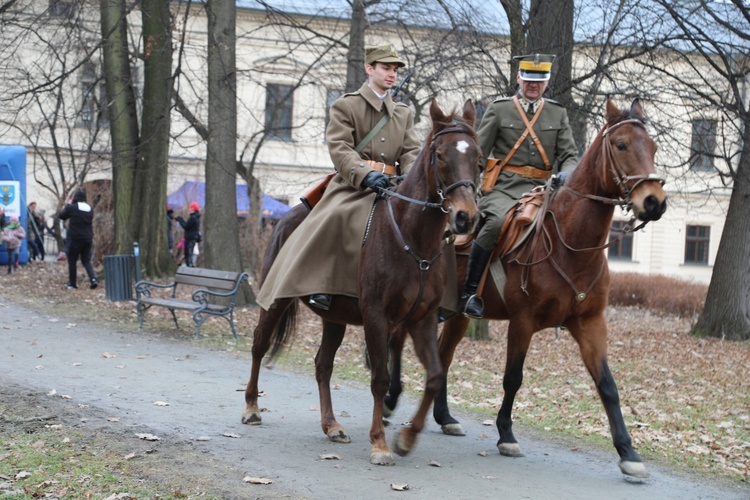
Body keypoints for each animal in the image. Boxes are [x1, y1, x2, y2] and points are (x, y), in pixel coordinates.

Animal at [244, 99, 484, 466]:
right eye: (441, 154)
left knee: (323, 365)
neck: (413, 238)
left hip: (335, 318)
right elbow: (380, 379)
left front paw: (407, 438)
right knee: (259, 344)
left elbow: (434, 375)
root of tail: (286, 218)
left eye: (478, 157)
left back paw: (331, 425)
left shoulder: (423, 319)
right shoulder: (376, 316)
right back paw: (252, 407)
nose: (465, 217)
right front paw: (380, 444)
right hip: (276, 300)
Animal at [388, 97, 668, 476]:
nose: (654, 202)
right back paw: (390, 399)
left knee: (443, 357)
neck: (570, 242)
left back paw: (445, 417)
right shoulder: (523, 322)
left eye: (652, 146)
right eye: (621, 145)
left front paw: (628, 452)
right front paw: (506, 434)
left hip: (458, 313)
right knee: (397, 340)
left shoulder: (590, 323)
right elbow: (513, 377)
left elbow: (608, 385)